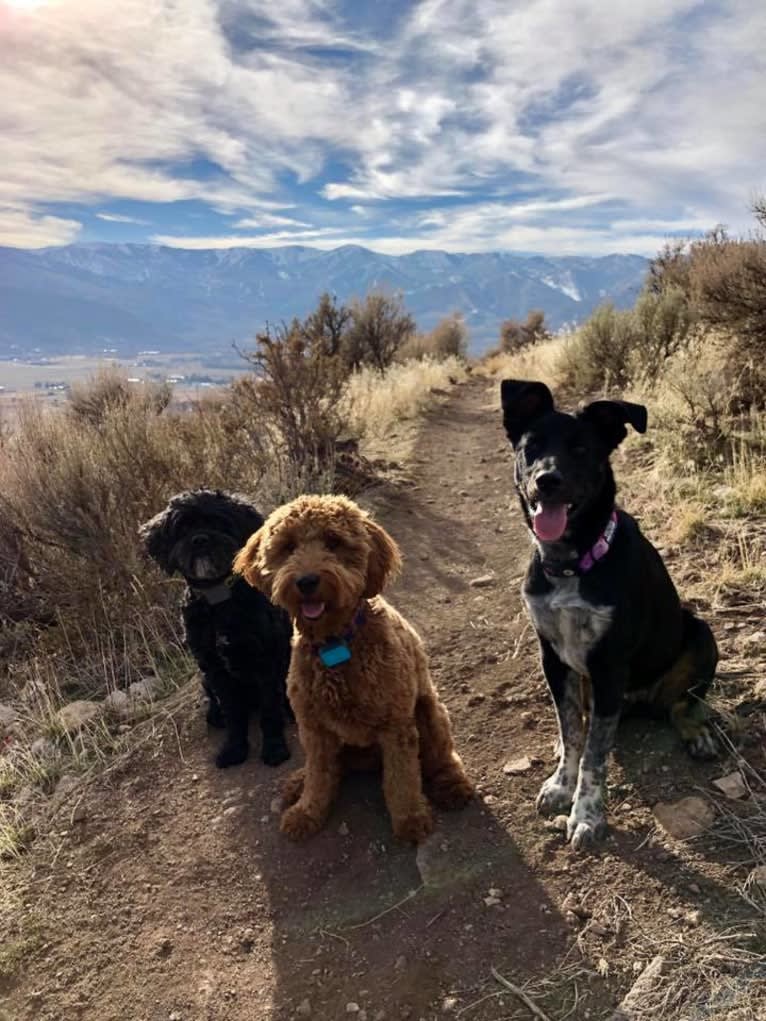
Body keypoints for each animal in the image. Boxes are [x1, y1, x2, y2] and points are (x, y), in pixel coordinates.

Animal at [139, 490, 292, 767]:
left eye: (219, 522)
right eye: (182, 528)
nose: (200, 540)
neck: (218, 600)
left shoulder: (264, 660)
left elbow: (269, 710)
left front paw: (274, 748)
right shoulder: (213, 667)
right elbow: (233, 712)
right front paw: (234, 748)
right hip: (205, 678)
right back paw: (215, 714)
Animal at [504, 379, 719, 849]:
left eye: (582, 449)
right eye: (531, 446)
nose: (547, 480)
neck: (572, 563)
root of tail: (637, 701)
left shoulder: (609, 665)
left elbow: (593, 758)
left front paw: (586, 815)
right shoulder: (552, 658)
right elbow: (570, 730)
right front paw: (561, 785)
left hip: (700, 634)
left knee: (679, 703)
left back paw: (697, 734)